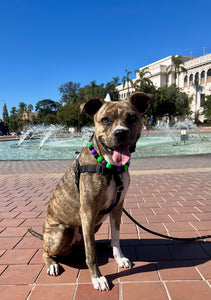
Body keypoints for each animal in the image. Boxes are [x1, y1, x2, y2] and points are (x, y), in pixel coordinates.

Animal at [33, 92, 152, 290]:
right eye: (105, 120)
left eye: (132, 117)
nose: (120, 132)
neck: (111, 167)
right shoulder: (88, 211)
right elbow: (91, 254)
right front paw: (97, 277)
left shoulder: (117, 207)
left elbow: (116, 237)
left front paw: (119, 258)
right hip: (60, 234)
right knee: (46, 252)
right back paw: (52, 265)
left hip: (95, 224)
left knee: (87, 244)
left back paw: (102, 245)